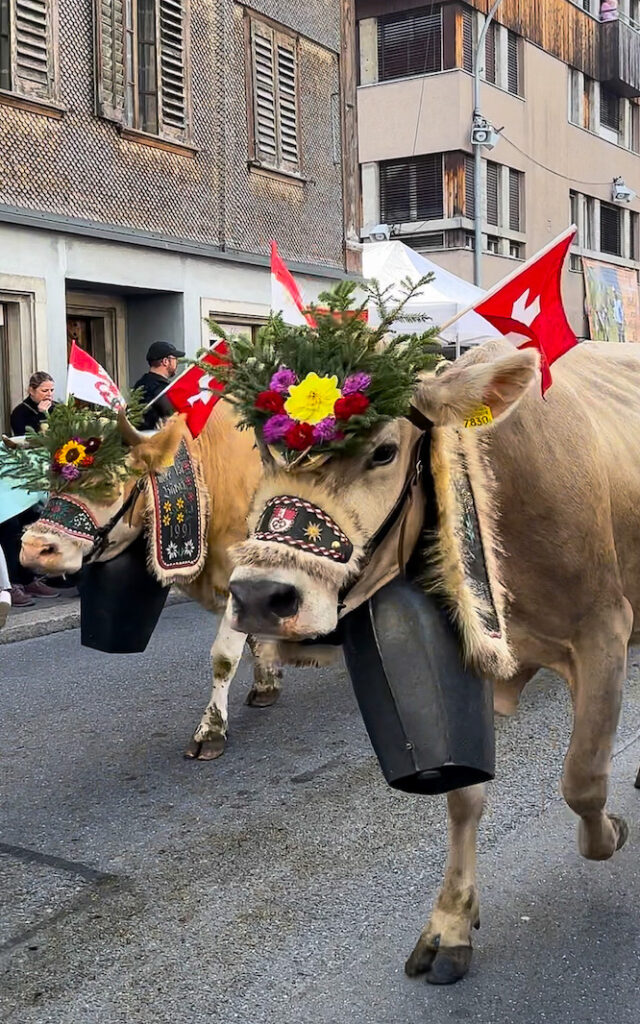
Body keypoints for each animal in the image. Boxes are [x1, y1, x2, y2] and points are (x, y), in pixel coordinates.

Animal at [18, 403, 274, 757]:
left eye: (107, 484)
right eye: (50, 483)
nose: (33, 549)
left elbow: (224, 657)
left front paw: (210, 731)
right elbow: (252, 638)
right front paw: (265, 687)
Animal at [226, 342, 638, 983]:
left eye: (384, 451)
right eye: (268, 451)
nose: (258, 596)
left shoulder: (605, 630)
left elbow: (584, 780)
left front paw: (611, 832)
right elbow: (463, 795)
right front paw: (450, 923)